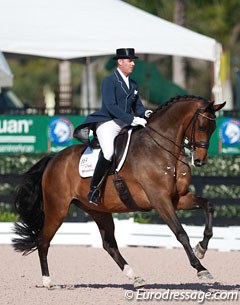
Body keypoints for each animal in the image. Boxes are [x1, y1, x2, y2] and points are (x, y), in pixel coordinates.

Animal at [11, 95, 225, 288]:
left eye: (213, 128)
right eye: (202, 126)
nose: (200, 161)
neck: (160, 148)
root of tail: (53, 159)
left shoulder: (177, 198)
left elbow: (208, 206)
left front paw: (201, 248)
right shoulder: (160, 200)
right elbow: (181, 233)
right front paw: (201, 268)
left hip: (98, 210)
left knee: (109, 244)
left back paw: (134, 276)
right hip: (57, 209)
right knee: (43, 240)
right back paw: (48, 282)